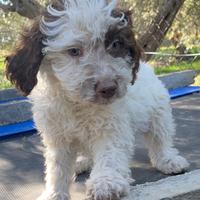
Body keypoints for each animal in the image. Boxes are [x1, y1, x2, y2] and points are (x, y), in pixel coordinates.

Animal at [5, 0, 189, 200]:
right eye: (74, 51)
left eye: (116, 44)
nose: (109, 88)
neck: (77, 103)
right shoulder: (57, 137)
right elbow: (57, 167)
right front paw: (54, 193)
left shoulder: (112, 126)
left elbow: (109, 153)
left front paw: (106, 182)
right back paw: (81, 161)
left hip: (158, 114)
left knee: (160, 139)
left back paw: (168, 160)